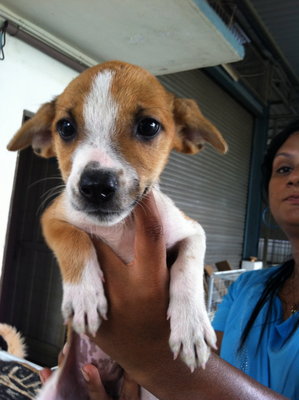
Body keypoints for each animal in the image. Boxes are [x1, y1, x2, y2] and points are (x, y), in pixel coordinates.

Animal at [7, 60, 227, 400]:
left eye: (149, 126)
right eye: (65, 127)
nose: (96, 185)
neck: (119, 228)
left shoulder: (191, 230)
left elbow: (188, 267)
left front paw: (191, 325)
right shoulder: (53, 217)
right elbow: (75, 238)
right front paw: (85, 295)